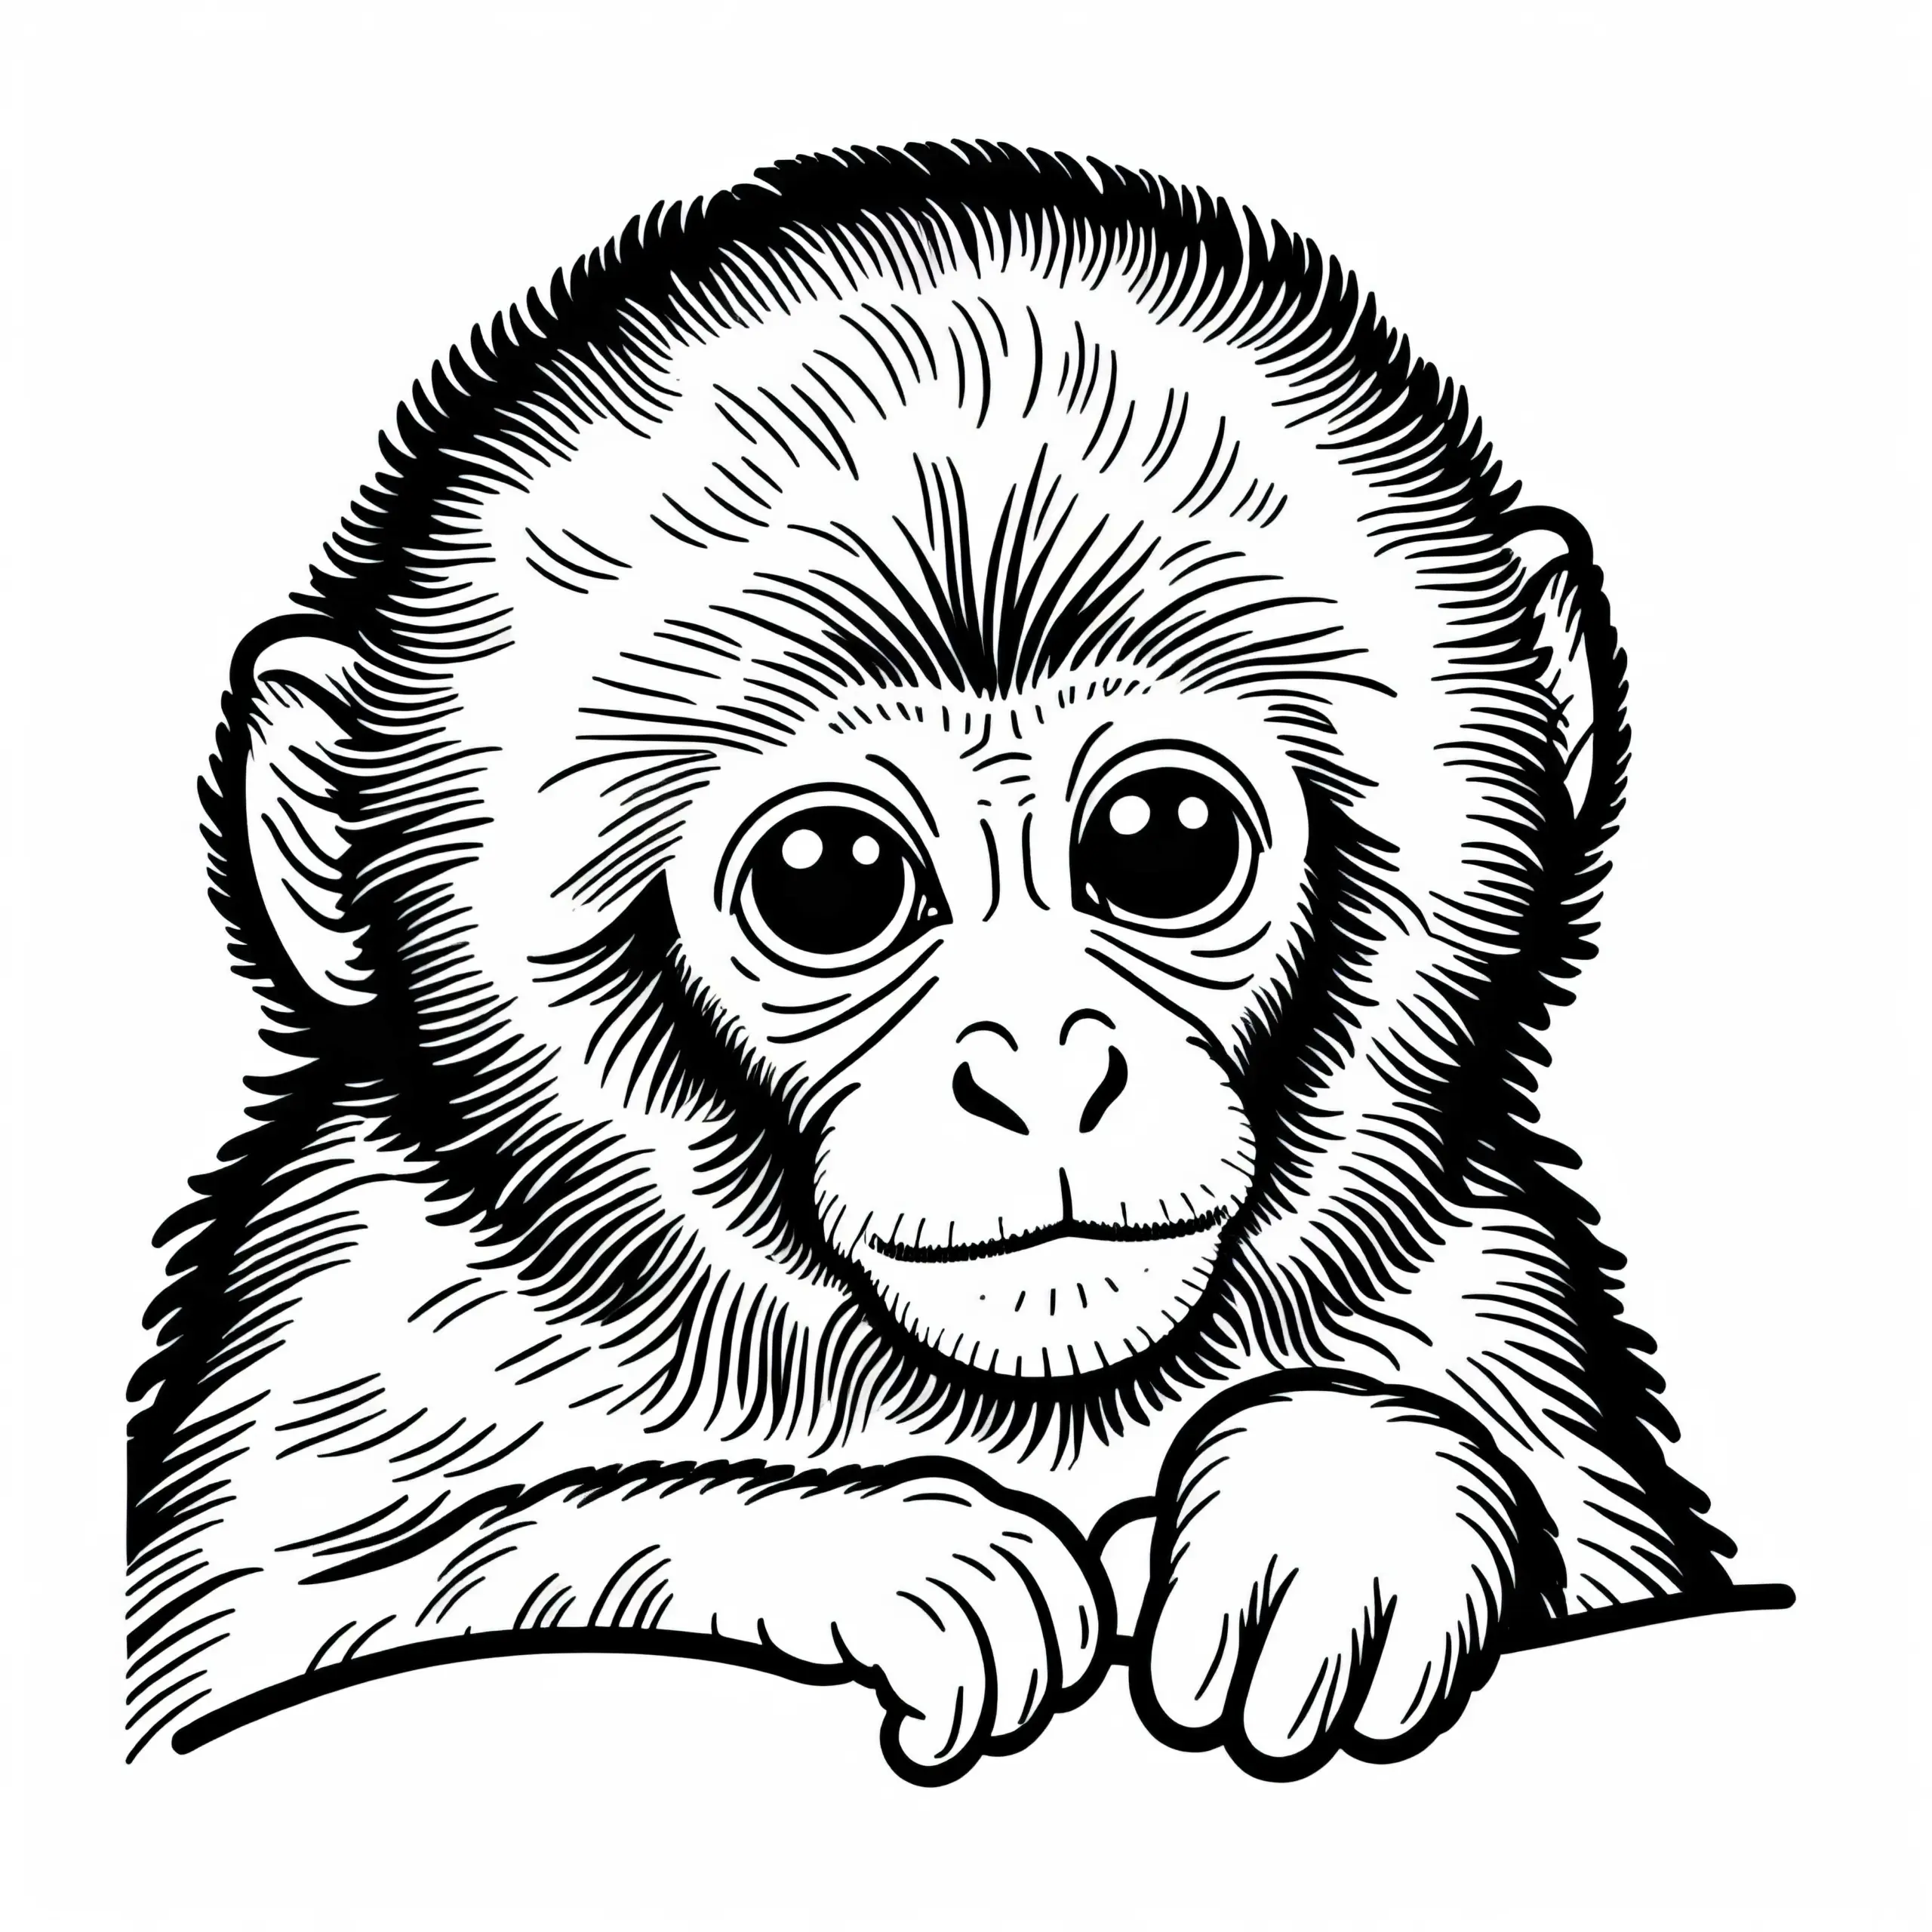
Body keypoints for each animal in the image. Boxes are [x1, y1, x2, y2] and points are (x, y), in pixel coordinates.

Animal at [128, 141, 1775, 1783]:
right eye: (830, 883)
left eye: (1166, 842)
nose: (1044, 1065)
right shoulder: (351, 1307)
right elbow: (285, 1657)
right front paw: (862, 1554)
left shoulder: (1494, 1294)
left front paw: (1341, 1497)